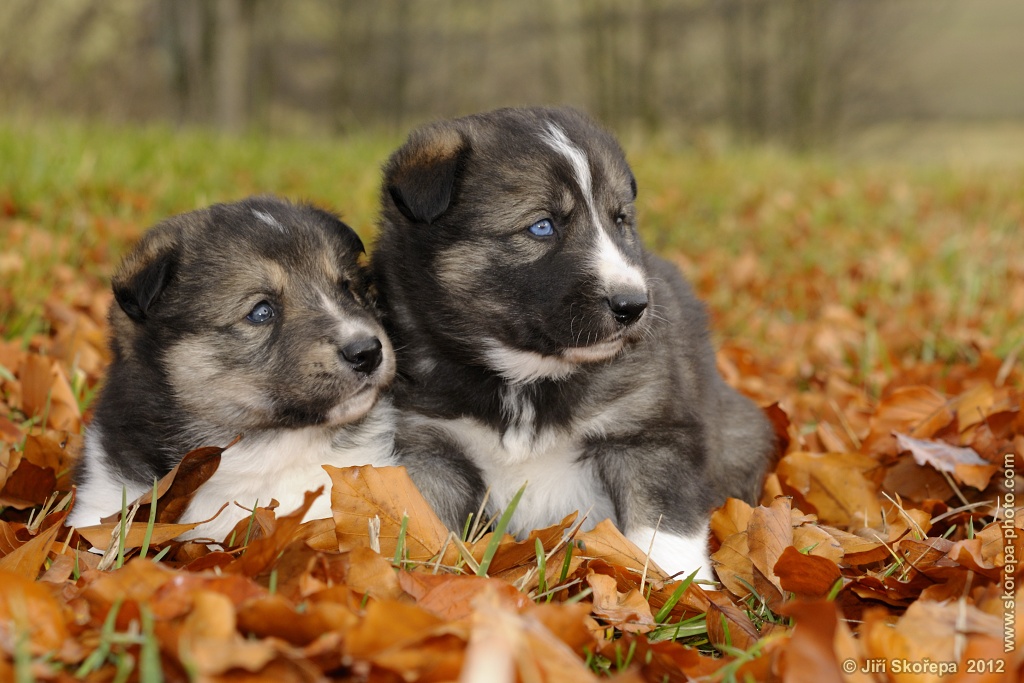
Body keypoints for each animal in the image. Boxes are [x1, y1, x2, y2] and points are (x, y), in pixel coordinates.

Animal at [372, 107, 770, 577]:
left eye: (620, 220)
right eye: (542, 226)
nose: (634, 305)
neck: (525, 378)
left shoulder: (647, 433)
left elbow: (664, 531)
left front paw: (679, 589)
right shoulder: (427, 446)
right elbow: (425, 522)